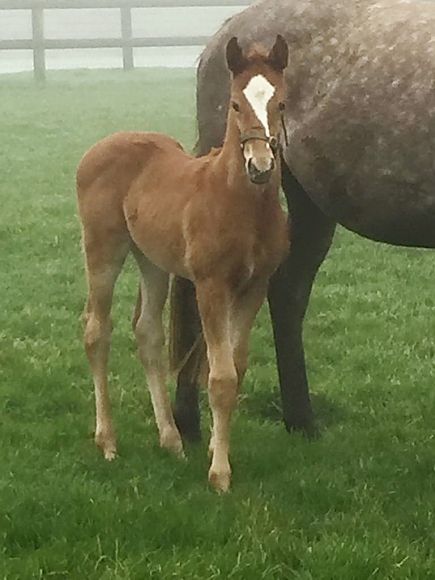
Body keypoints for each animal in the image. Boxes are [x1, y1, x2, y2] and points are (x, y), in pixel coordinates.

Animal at [77, 35, 290, 490]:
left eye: (281, 103)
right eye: (234, 103)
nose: (261, 167)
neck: (240, 203)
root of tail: (103, 145)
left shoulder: (255, 285)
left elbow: (235, 367)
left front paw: (212, 448)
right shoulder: (210, 285)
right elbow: (220, 376)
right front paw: (220, 474)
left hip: (153, 260)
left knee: (147, 334)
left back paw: (171, 439)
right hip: (103, 249)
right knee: (96, 331)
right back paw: (108, 441)